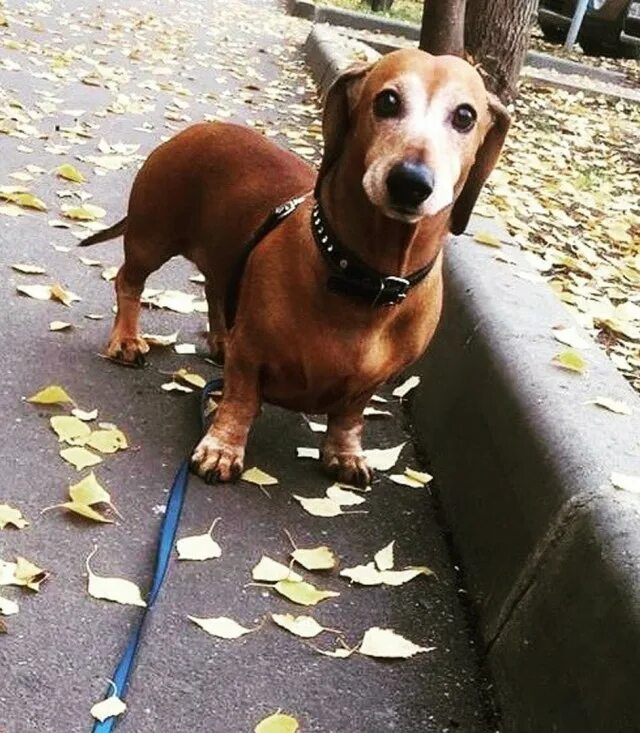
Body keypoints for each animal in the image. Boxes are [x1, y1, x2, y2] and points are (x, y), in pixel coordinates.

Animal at [80, 51, 510, 486]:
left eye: (465, 116)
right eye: (387, 101)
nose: (411, 182)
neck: (364, 279)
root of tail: (198, 129)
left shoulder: (367, 386)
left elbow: (349, 416)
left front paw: (345, 454)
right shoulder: (250, 355)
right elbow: (240, 400)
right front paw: (222, 448)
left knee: (215, 290)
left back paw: (220, 340)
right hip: (151, 238)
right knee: (129, 281)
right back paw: (127, 340)